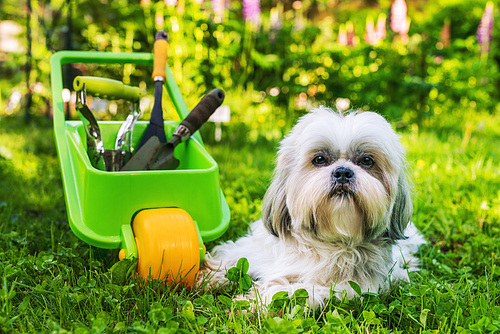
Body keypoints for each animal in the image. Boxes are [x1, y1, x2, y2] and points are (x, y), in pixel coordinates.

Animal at [203, 107, 426, 308]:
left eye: (366, 161)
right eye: (319, 159)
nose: (343, 172)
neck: (326, 243)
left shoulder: (349, 287)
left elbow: (291, 290)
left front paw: (254, 302)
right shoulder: (254, 250)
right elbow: (233, 257)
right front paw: (210, 276)